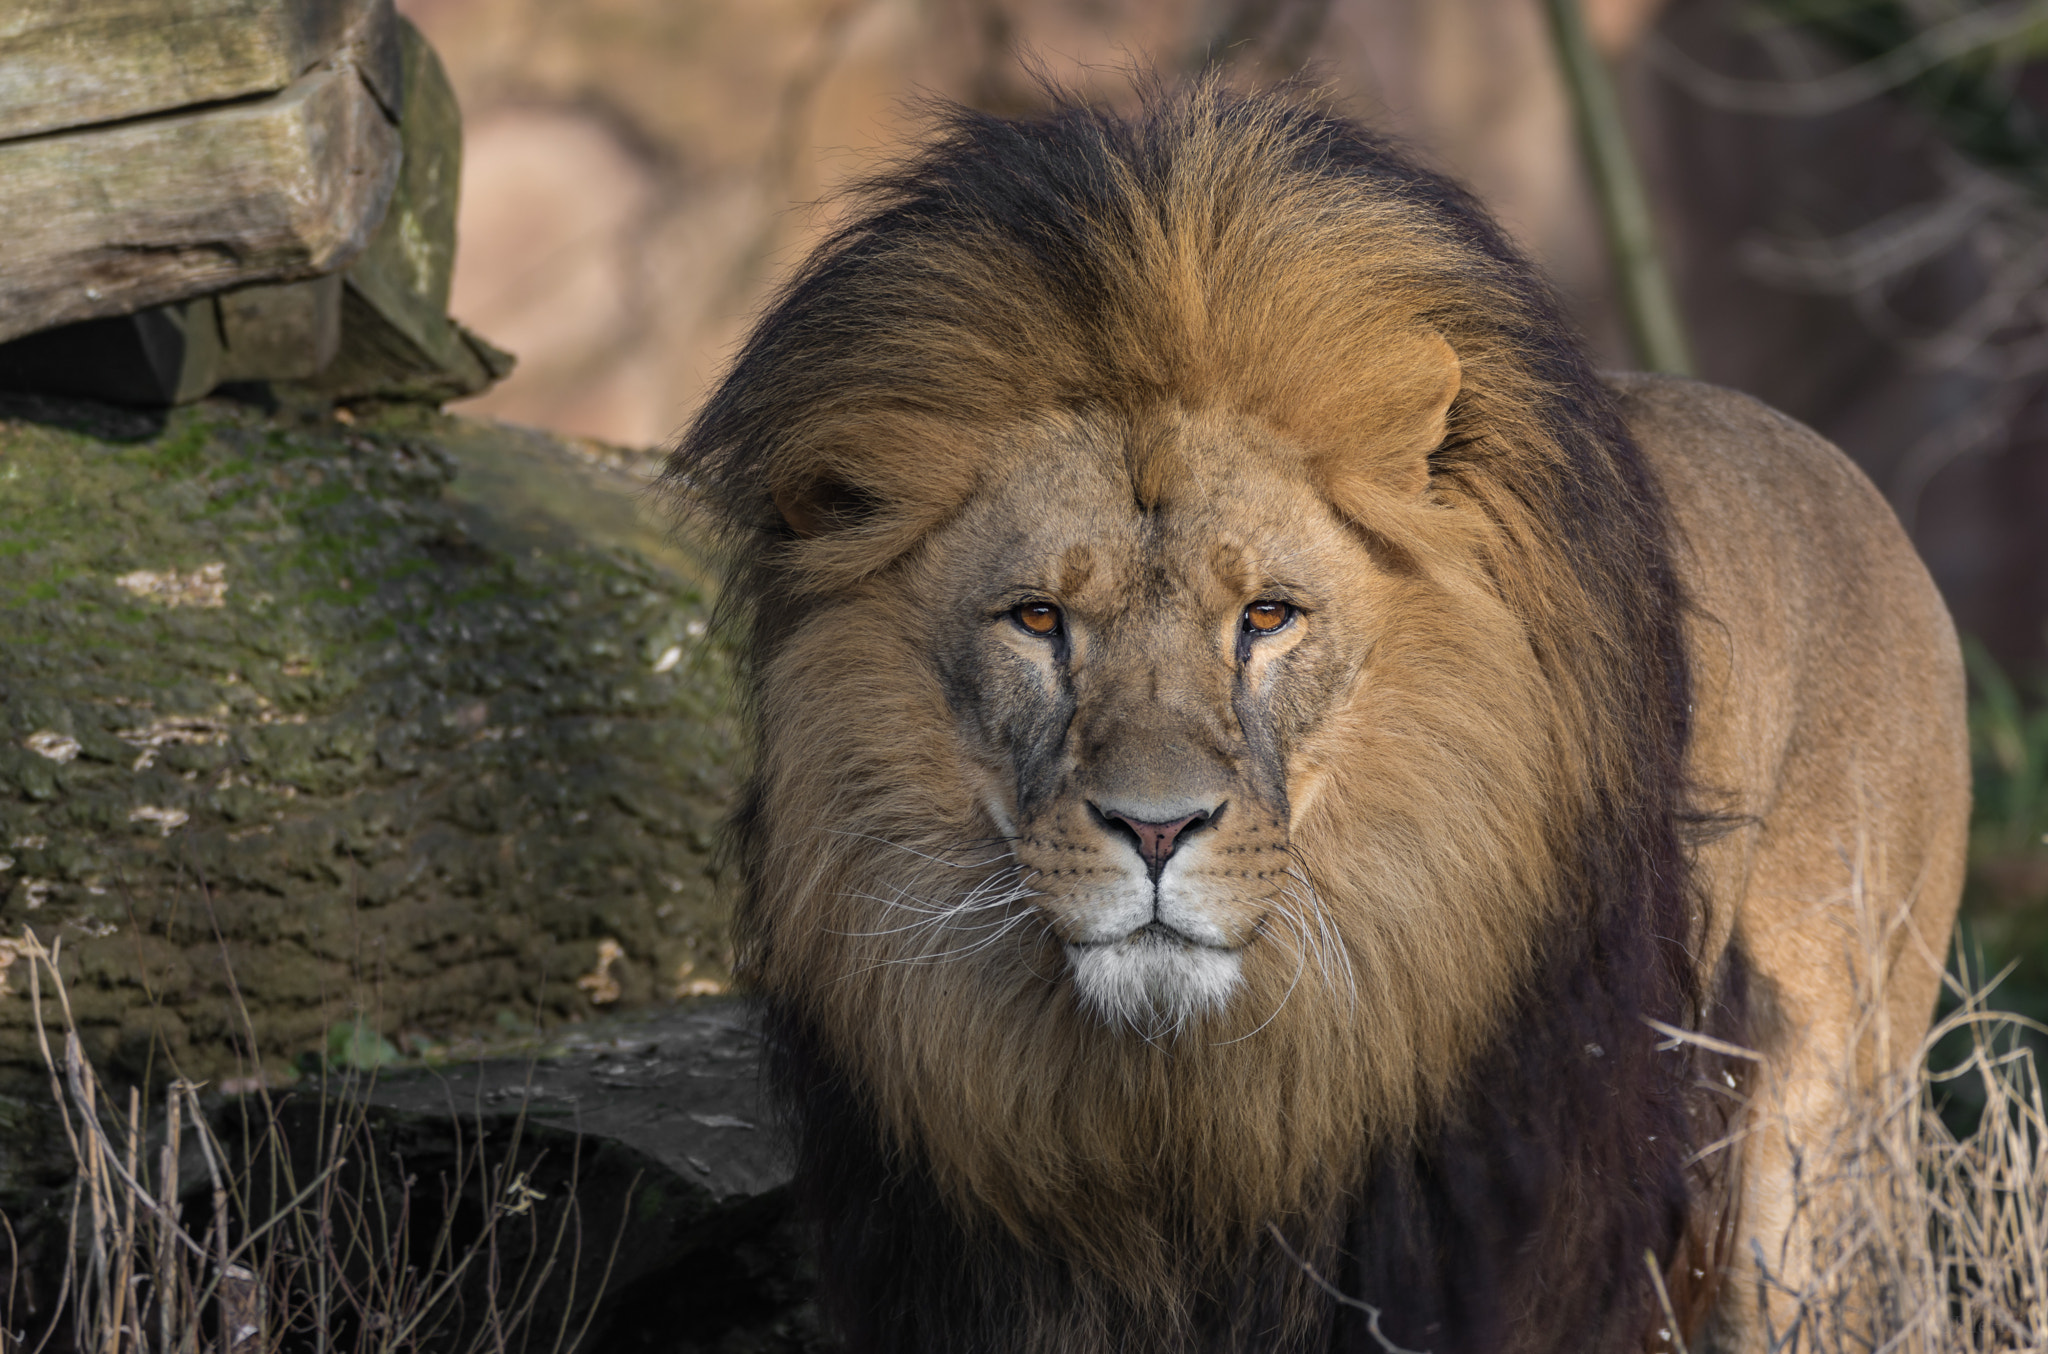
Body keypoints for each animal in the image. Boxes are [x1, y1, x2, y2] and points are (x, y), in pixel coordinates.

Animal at [663, 84, 1968, 1354]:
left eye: (1266, 616)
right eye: (1037, 618)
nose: (1153, 831)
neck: (1184, 1113)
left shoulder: (1480, 1235)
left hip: (1818, 1148)